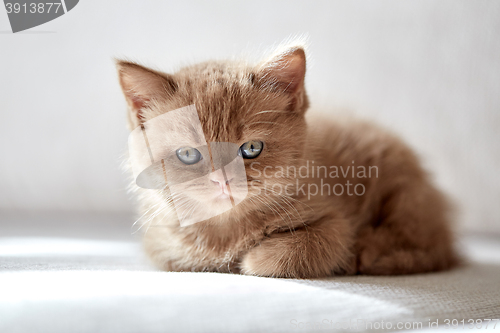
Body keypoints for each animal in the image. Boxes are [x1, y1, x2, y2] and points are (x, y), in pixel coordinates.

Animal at [116, 44, 458, 278]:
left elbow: (301, 249)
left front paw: (252, 259)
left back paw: (369, 251)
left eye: (251, 148)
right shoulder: (163, 245)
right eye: (188, 154)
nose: (222, 179)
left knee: (430, 247)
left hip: (405, 195)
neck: (229, 231)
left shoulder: (334, 223)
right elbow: (181, 258)